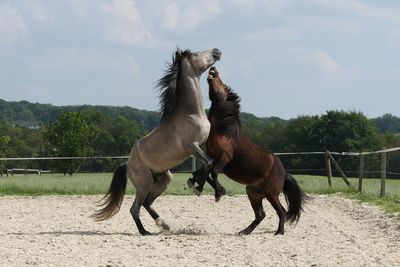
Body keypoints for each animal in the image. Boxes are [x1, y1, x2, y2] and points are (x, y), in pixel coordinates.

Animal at [91, 48, 222, 237]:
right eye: (196, 54)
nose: (217, 51)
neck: (192, 113)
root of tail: (128, 165)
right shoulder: (192, 147)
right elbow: (209, 164)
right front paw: (198, 187)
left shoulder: (203, 145)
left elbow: (210, 166)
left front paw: (215, 190)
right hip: (144, 183)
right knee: (135, 208)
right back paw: (144, 231)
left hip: (163, 179)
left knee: (147, 203)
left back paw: (164, 225)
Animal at [191, 67, 306, 237]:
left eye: (223, 85)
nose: (213, 69)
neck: (225, 132)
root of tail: (283, 173)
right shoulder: (212, 157)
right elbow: (204, 171)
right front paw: (202, 186)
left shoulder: (224, 157)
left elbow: (213, 172)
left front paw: (216, 193)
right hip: (253, 193)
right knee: (261, 215)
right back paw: (245, 231)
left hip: (271, 193)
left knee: (281, 211)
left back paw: (279, 232)